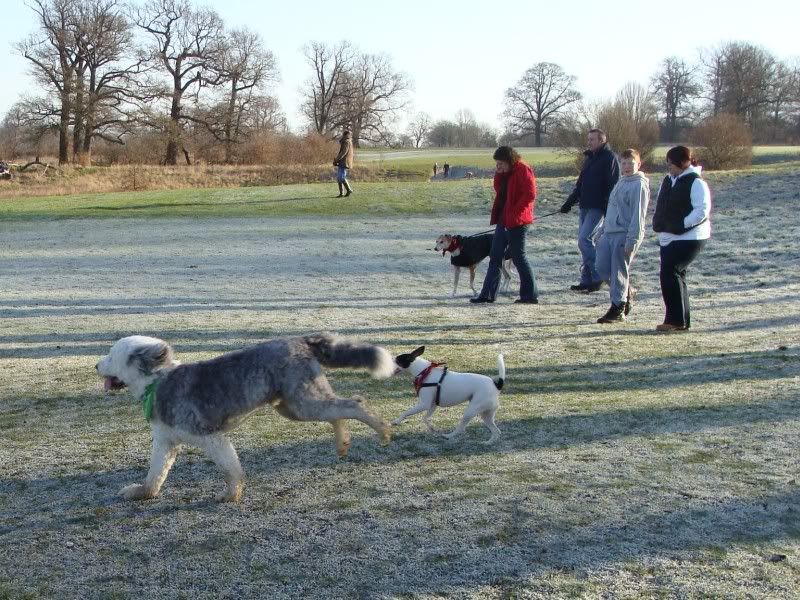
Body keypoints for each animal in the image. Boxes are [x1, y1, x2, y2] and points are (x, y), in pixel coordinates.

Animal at [97, 332, 394, 502]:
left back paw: (382, 430)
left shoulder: (212, 438)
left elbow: (230, 469)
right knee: (337, 411)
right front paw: (141, 493)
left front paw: (230, 495)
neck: (157, 382)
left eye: (111, 356)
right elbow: (155, 474)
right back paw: (343, 442)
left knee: (353, 404)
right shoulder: (165, 442)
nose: (97, 365)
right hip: (296, 406)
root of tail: (301, 341)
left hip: (304, 403)